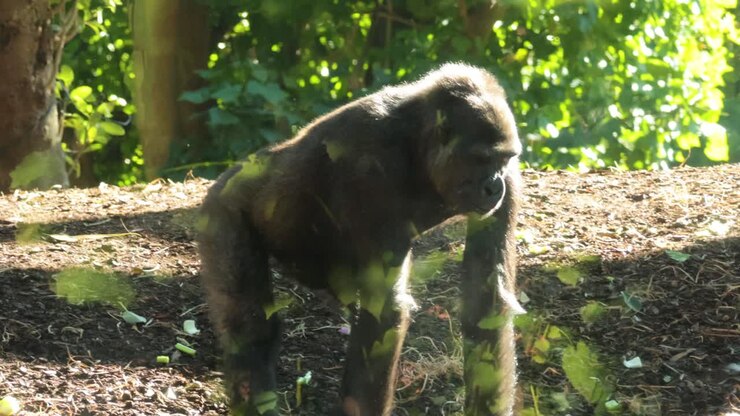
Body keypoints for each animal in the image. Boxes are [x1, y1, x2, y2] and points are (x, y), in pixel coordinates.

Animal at [197, 62, 523, 416]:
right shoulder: (369, 165)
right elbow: (384, 309)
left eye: (504, 160)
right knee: (251, 329)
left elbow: (486, 299)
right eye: (482, 159)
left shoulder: (511, 178)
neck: (419, 147)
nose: (494, 187)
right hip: (222, 210)